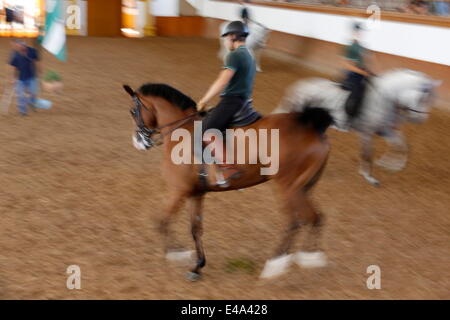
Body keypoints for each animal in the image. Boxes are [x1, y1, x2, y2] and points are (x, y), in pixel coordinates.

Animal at [123, 84, 334, 282]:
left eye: (133, 111)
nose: (138, 142)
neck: (182, 132)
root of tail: (312, 127)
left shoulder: (178, 191)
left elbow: (162, 221)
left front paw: (179, 254)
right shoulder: (196, 193)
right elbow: (195, 229)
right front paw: (197, 266)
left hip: (287, 187)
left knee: (298, 220)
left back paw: (277, 265)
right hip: (303, 187)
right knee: (316, 217)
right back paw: (309, 258)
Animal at [272, 70, 442, 185]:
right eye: (422, 98)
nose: (419, 119)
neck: (384, 100)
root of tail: (299, 86)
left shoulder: (385, 131)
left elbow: (402, 145)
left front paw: (390, 165)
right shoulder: (367, 133)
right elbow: (367, 154)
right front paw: (369, 177)